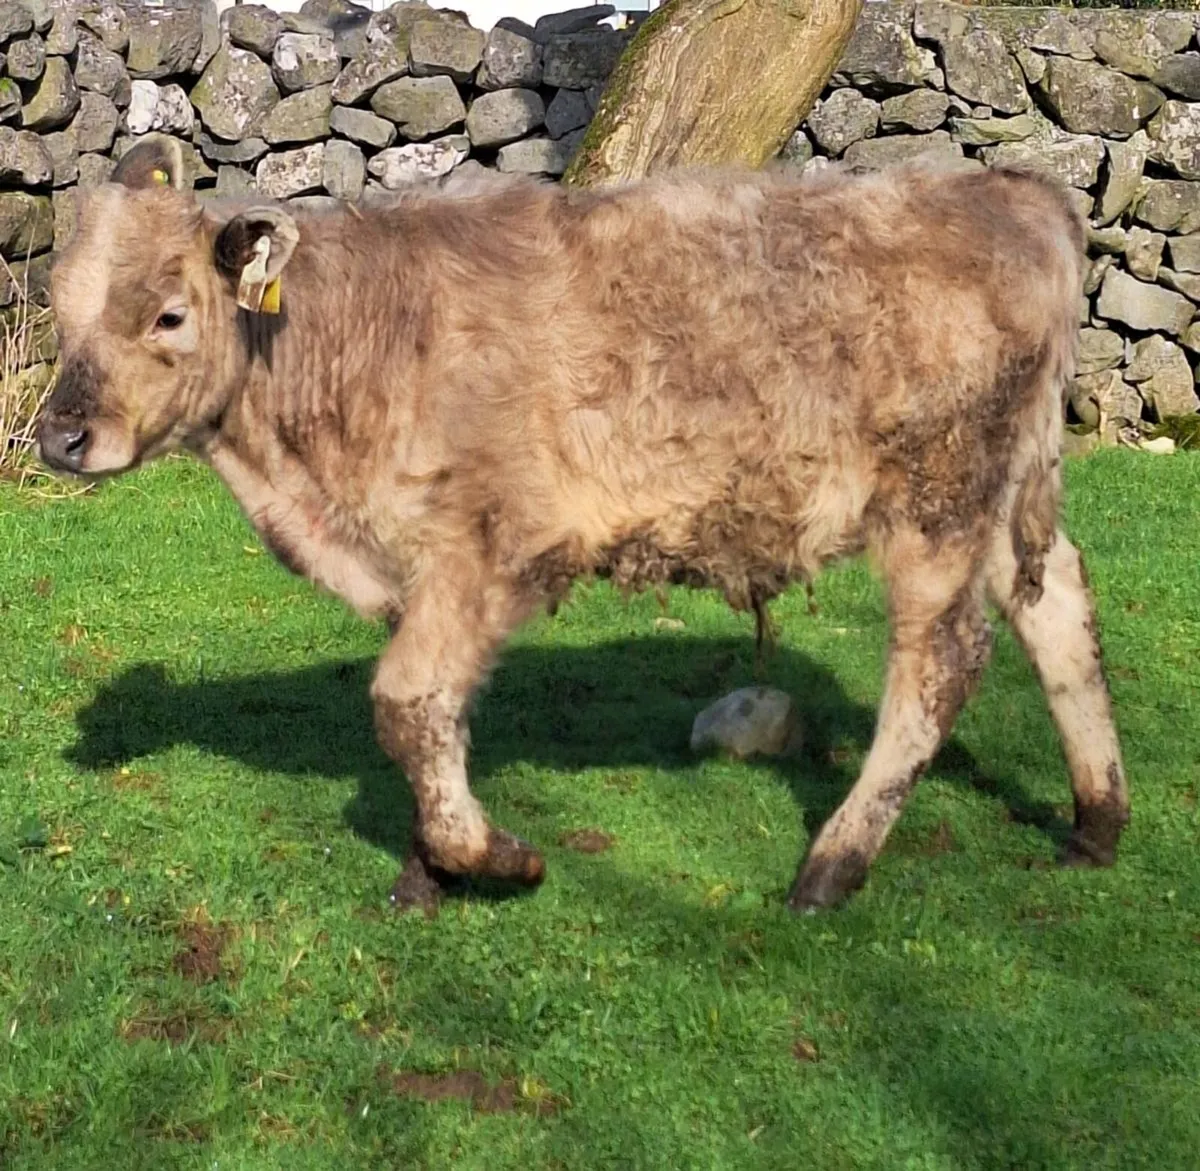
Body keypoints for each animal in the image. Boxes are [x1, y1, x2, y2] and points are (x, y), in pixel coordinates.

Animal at [37, 133, 1130, 913]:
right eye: (59, 309)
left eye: (170, 314)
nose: (59, 435)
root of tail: (1011, 189)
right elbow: (434, 717)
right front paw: (430, 870)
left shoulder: (489, 544)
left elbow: (404, 702)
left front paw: (491, 859)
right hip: (1001, 499)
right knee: (1057, 604)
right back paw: (1096, 822)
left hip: (937, 501)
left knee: (942, 661)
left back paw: (831, 866)